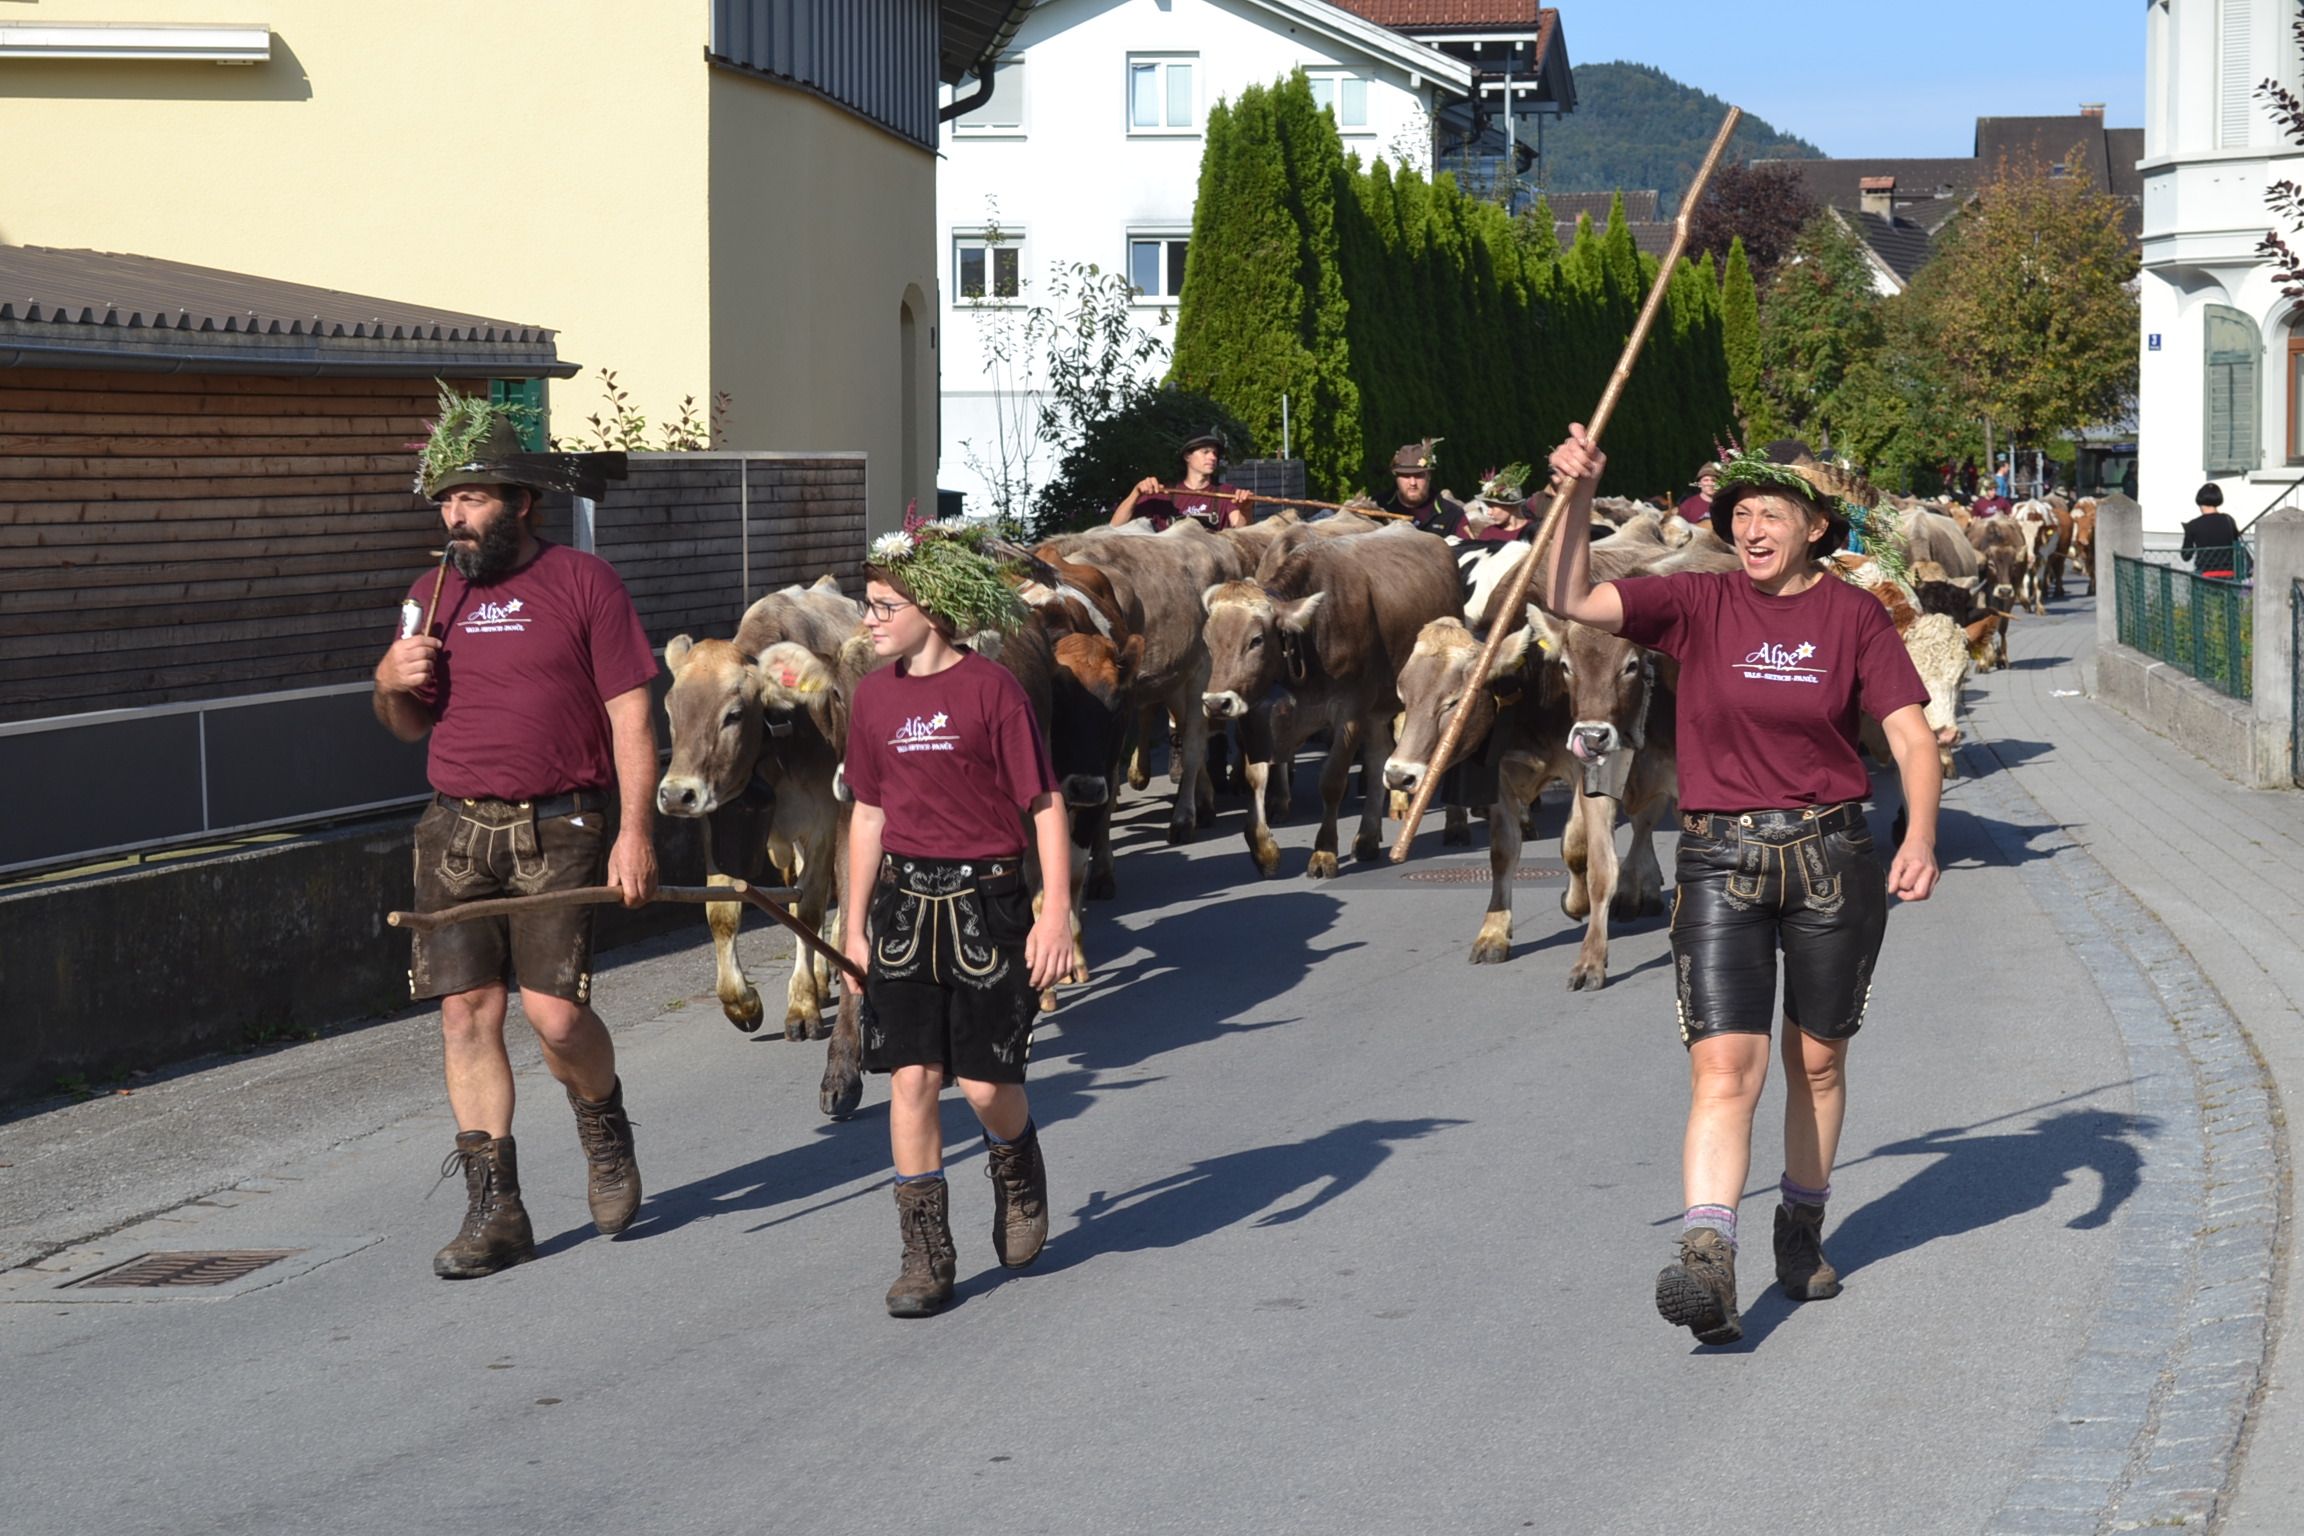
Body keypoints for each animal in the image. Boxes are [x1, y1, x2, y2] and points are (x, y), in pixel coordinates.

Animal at [1202, 524, 1462, 878]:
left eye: (1255, 640)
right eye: (1208, 640)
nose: (1217, 703)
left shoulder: (1351, 711)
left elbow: (1333, 782)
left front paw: (1324, 852)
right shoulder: (1257, 711)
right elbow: (1257, 775)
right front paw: (1263, 849)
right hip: (1377, 709)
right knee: (1379, 757)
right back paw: (1367, 838)